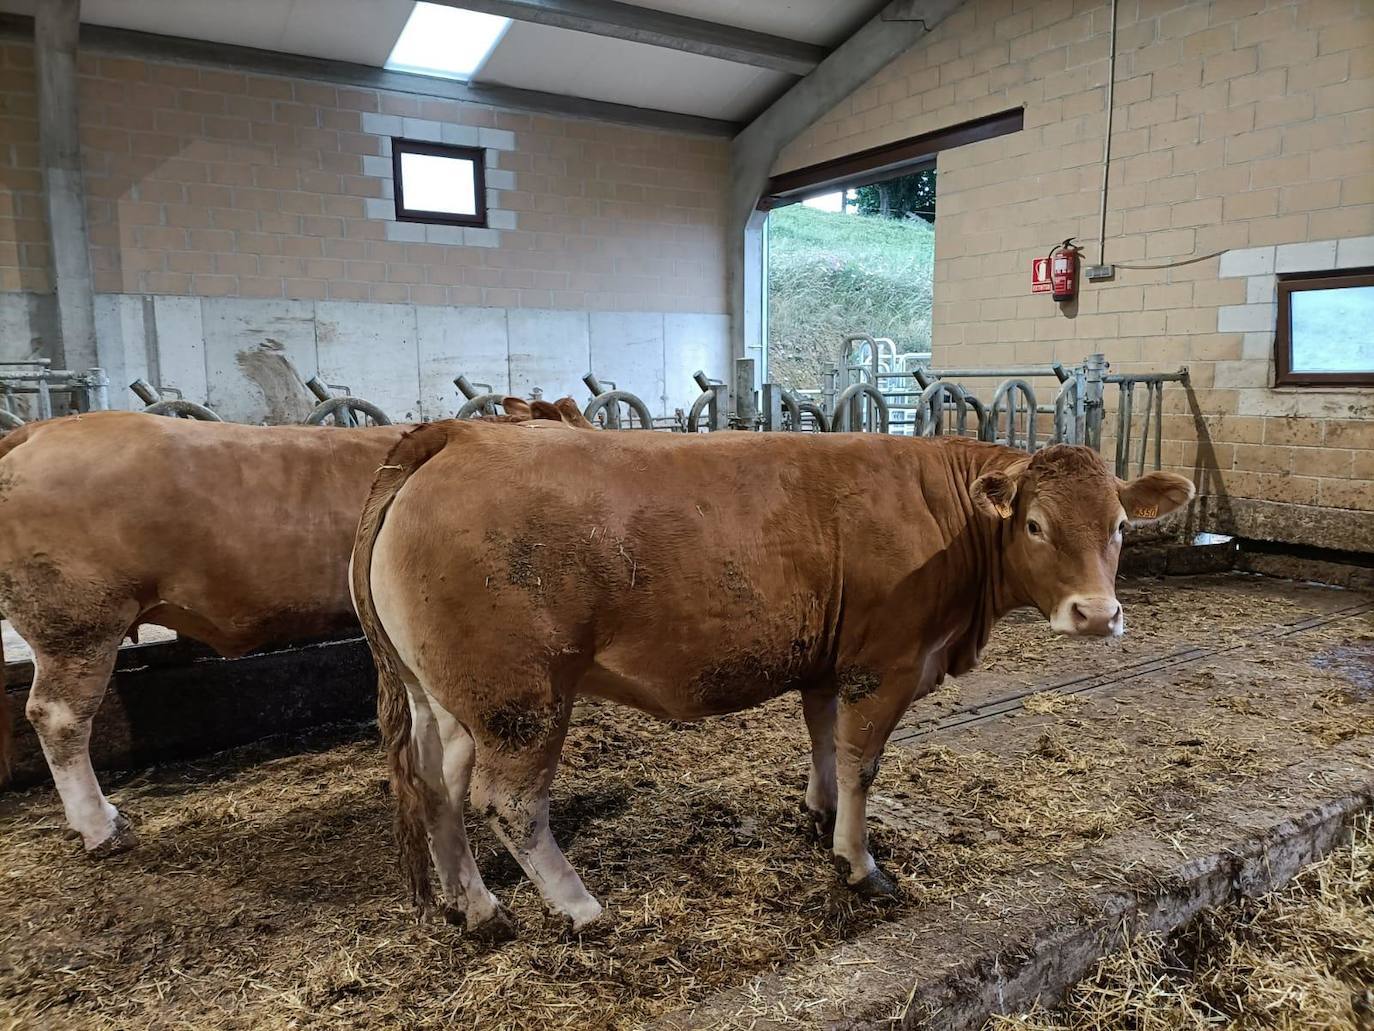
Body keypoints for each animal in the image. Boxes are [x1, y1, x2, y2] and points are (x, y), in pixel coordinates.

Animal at [351, 420, 1192, 934]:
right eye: (1035, 524)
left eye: (1121, 526)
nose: (1097, 614)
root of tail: (462, 432)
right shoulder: (883, 662)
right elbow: (861, 760)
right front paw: (859, 863)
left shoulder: (827, 662)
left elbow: (823, 742)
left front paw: (819, 814)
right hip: (522, 698)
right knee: (511, 801)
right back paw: (579, 905)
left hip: (448, 697)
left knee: (435, 784)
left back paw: (475, 902)